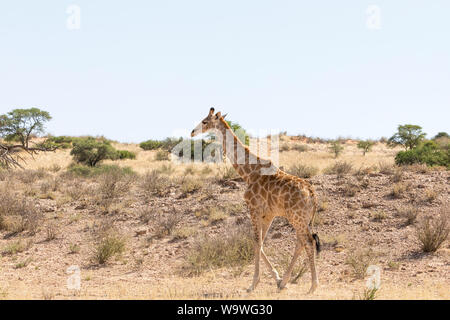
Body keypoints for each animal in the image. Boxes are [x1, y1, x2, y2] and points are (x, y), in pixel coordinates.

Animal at [190, 109, 320, 294]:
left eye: (205, 121)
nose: (192, 132)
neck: (248, 172)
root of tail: (312, 195)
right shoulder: (269, 214)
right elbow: (261, 242)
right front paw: (276, 278)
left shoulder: (253, 208)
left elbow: (256, 242)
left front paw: (253, 284)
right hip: (303, 219)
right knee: (301, 242)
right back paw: (285, 281)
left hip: (297, 218)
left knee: (308, 242)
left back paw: (313, 286)